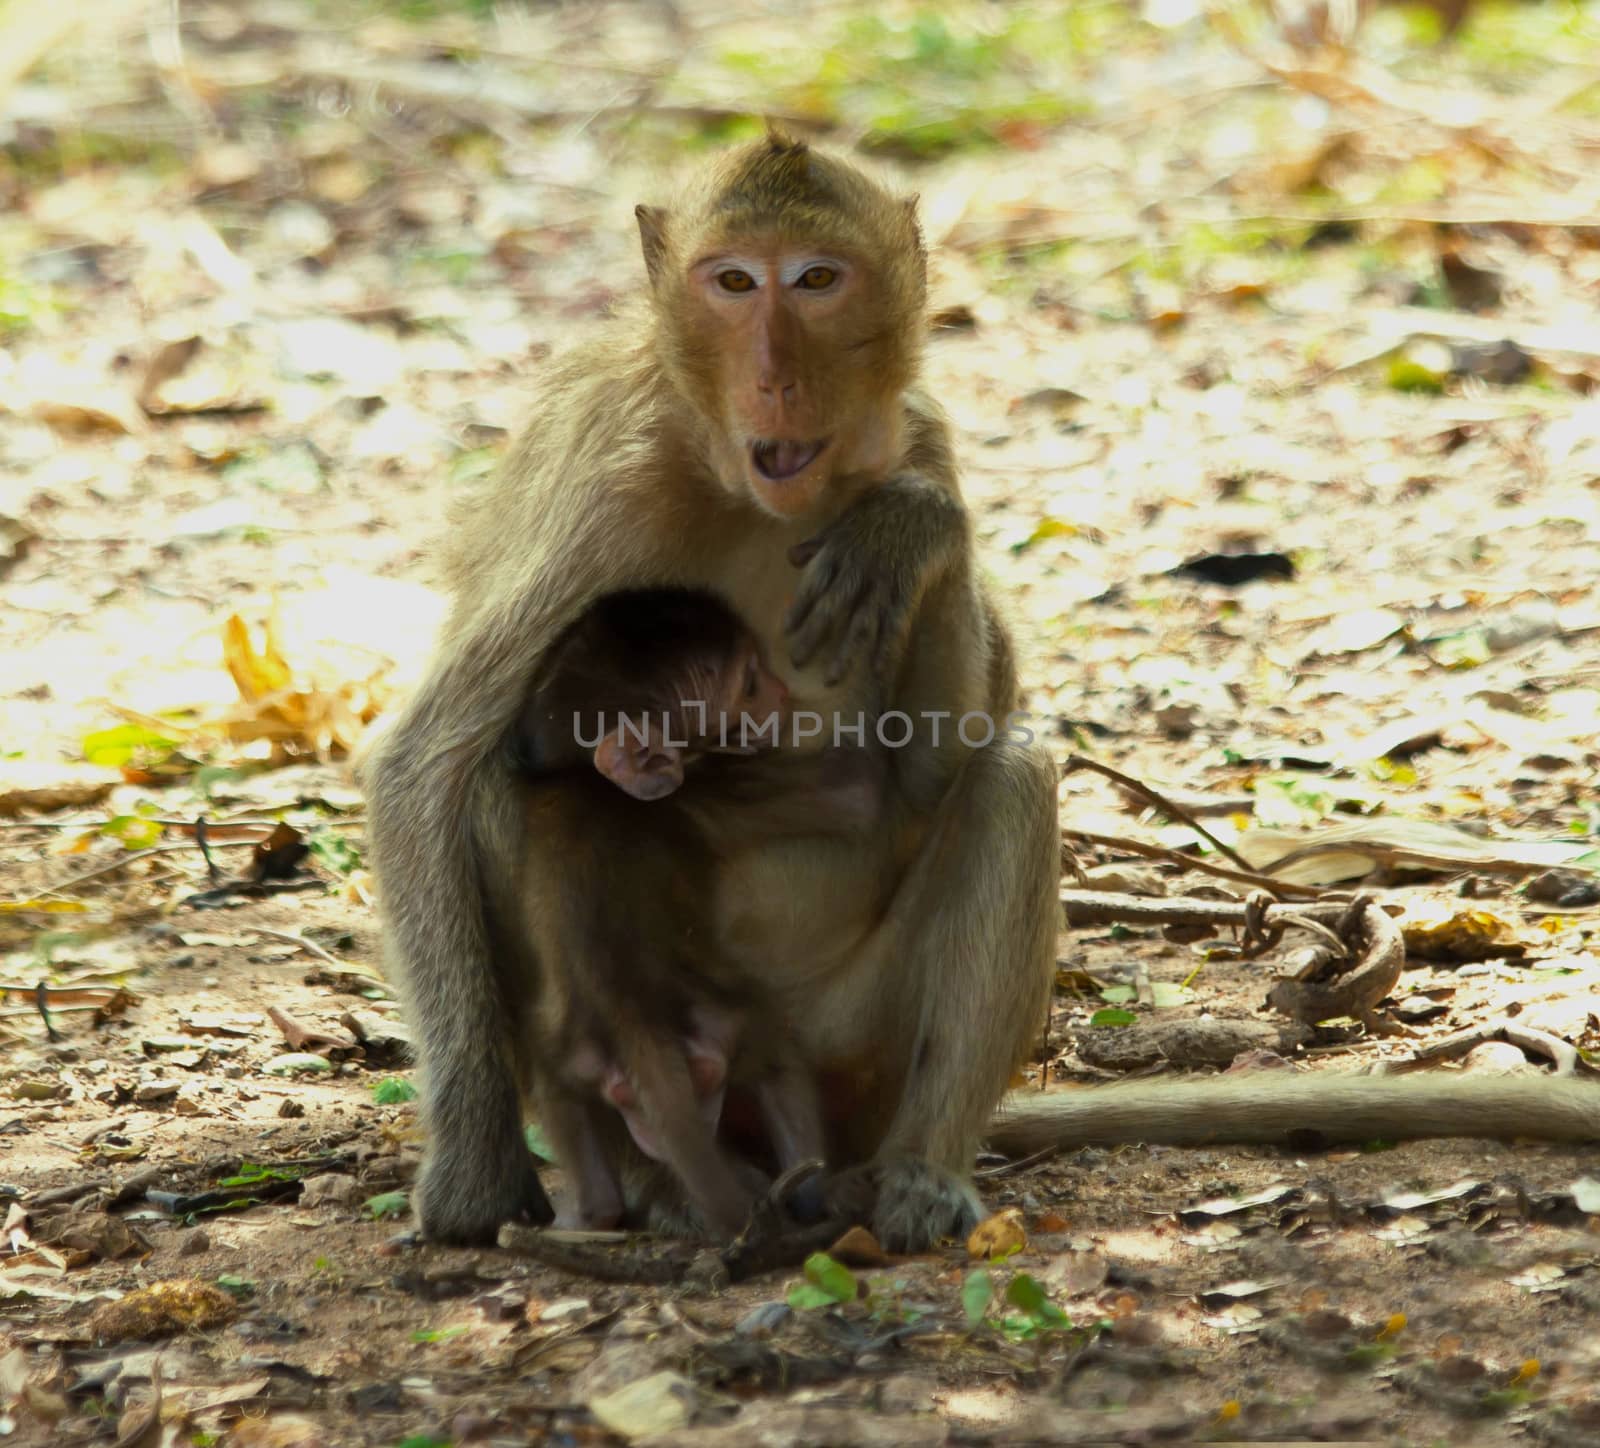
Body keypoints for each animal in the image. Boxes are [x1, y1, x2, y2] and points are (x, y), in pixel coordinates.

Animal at [518, 588, 832, 1228]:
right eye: (750, 683)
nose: (782, 692)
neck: (582, 775)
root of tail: (633, 1018)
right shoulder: (712, 789)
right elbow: (863, 793)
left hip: (573, 1057)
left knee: (556, 1090)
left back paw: (592, 1215)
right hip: (731, 1020)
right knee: (781, 1057)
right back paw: (811, 1198)